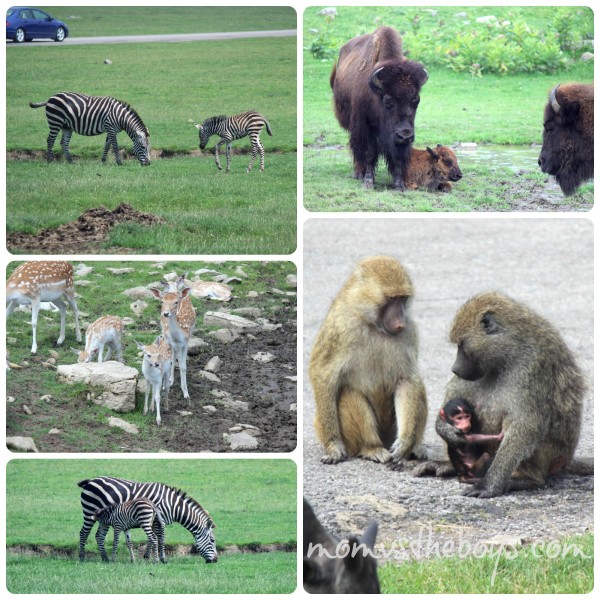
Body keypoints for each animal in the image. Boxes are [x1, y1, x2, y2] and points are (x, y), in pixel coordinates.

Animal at [78, 478, 218, 564]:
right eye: (212, 540)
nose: (216, 560)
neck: (173, 505)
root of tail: (91, 481)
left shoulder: (155, 520)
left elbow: (153, 537)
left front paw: (147, 556)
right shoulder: (159, 520)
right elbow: (160, 538)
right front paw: (161, 558)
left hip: (103, 518)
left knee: (99, 536)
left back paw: (105, 558)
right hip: (89, 511)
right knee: (84, 533)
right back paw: (81, 557)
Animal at [330, 27, 428, 191]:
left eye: (416, 100)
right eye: (388, 102)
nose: (405, 135)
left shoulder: (398, 141)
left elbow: (397, 158)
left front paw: (399, 184)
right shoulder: (366, 126)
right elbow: (369, 153)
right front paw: (368, 181)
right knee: (356, 149)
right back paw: (358, 173)